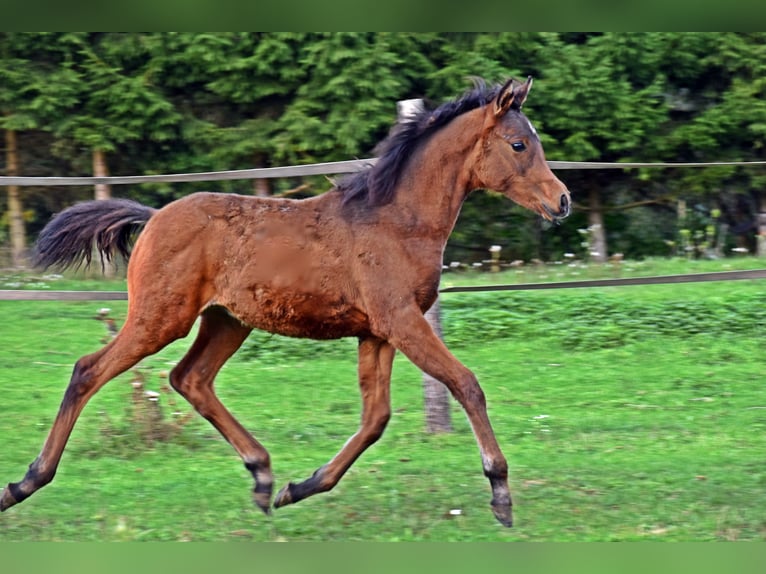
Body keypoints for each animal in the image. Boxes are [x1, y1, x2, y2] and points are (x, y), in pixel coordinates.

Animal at [0, 77, 570, 527]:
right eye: (519, 144)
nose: (561, 201)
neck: (396, 221)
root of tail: (153, 217)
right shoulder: (402, 320)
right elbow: (465, 384)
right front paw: (500, 493)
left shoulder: (377, 331)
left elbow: (376, 417)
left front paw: (303, 487)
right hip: (160, 317)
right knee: (89, 370)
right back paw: (25, 483)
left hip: (227, 321)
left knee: (189, 378)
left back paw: (262, 476)